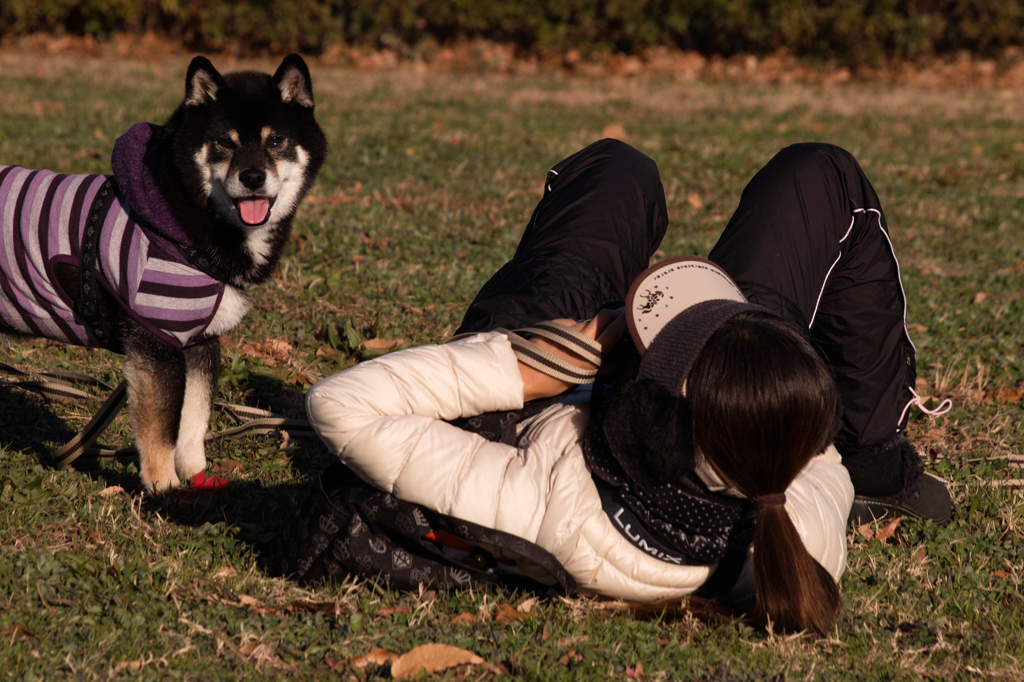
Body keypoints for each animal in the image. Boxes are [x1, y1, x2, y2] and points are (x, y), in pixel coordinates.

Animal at [0, 53, 325, 489]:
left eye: (275, 141)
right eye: (225, 142)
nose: (253, 177)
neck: (184, 222)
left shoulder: (201, 343)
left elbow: (193, 420)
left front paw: (196, 476)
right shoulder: (156, 344)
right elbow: (160, 428)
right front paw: (164, 488)